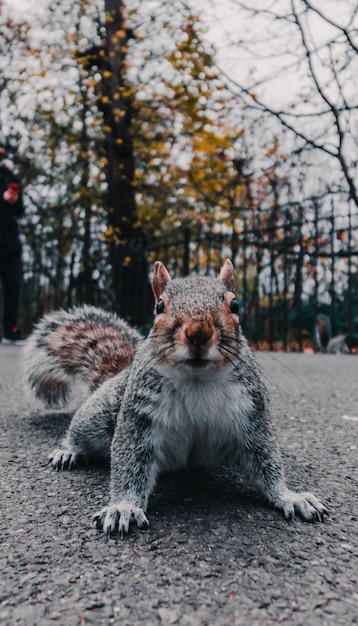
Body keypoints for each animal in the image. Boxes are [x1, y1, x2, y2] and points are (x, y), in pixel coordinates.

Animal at [24, 260, 328, 532]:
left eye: (235, 305)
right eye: (159, 306)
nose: (198, 333)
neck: (197, 380)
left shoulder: (251, 414)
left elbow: (266, 461)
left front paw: (290, 497)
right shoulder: (138, 417)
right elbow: (129, 463)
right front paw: (123, 507)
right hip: (101, 415)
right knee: (79, 431)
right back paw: (68, 451)